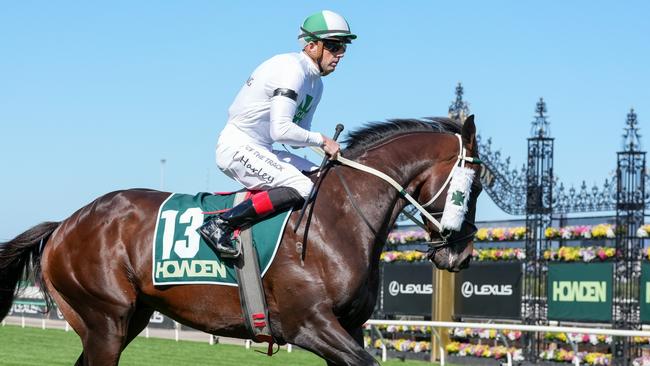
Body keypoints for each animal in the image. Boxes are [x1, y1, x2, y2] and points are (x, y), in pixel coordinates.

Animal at [1, 116, 480, 364]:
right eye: (475, 186)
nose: (462, 254)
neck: (339, 218)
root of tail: (66, 223)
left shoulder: (349, 328)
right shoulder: (309, 324)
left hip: (124, 319)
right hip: (104, 320)